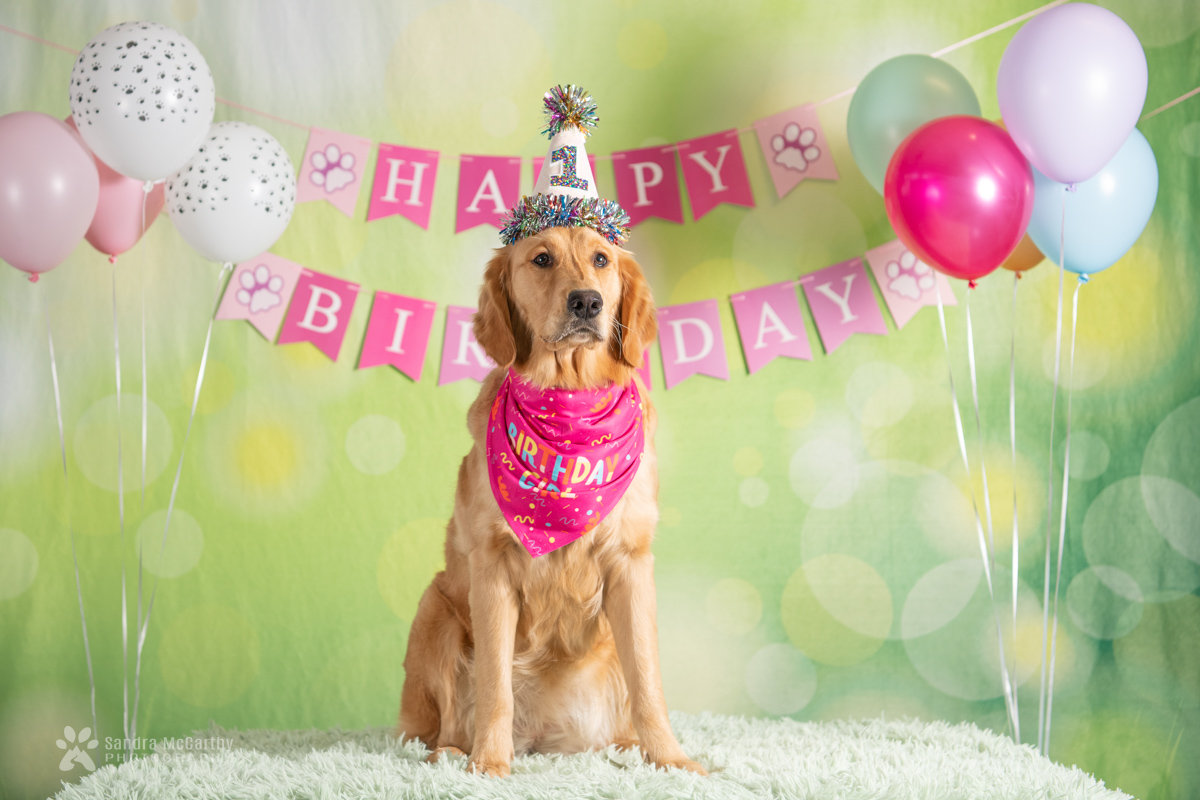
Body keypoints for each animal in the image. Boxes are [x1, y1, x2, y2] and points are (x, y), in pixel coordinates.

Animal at [400, 225, 700, 777]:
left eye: (601, 259)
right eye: (541, 259)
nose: (587, 301)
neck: (568, 396)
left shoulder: (631, 564)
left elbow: (649, 683)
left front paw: (671, 760)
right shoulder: (492, 567)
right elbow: (495, 684)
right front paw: (489, 763)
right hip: (435, 608)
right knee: (438, 724)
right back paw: (453, 750)